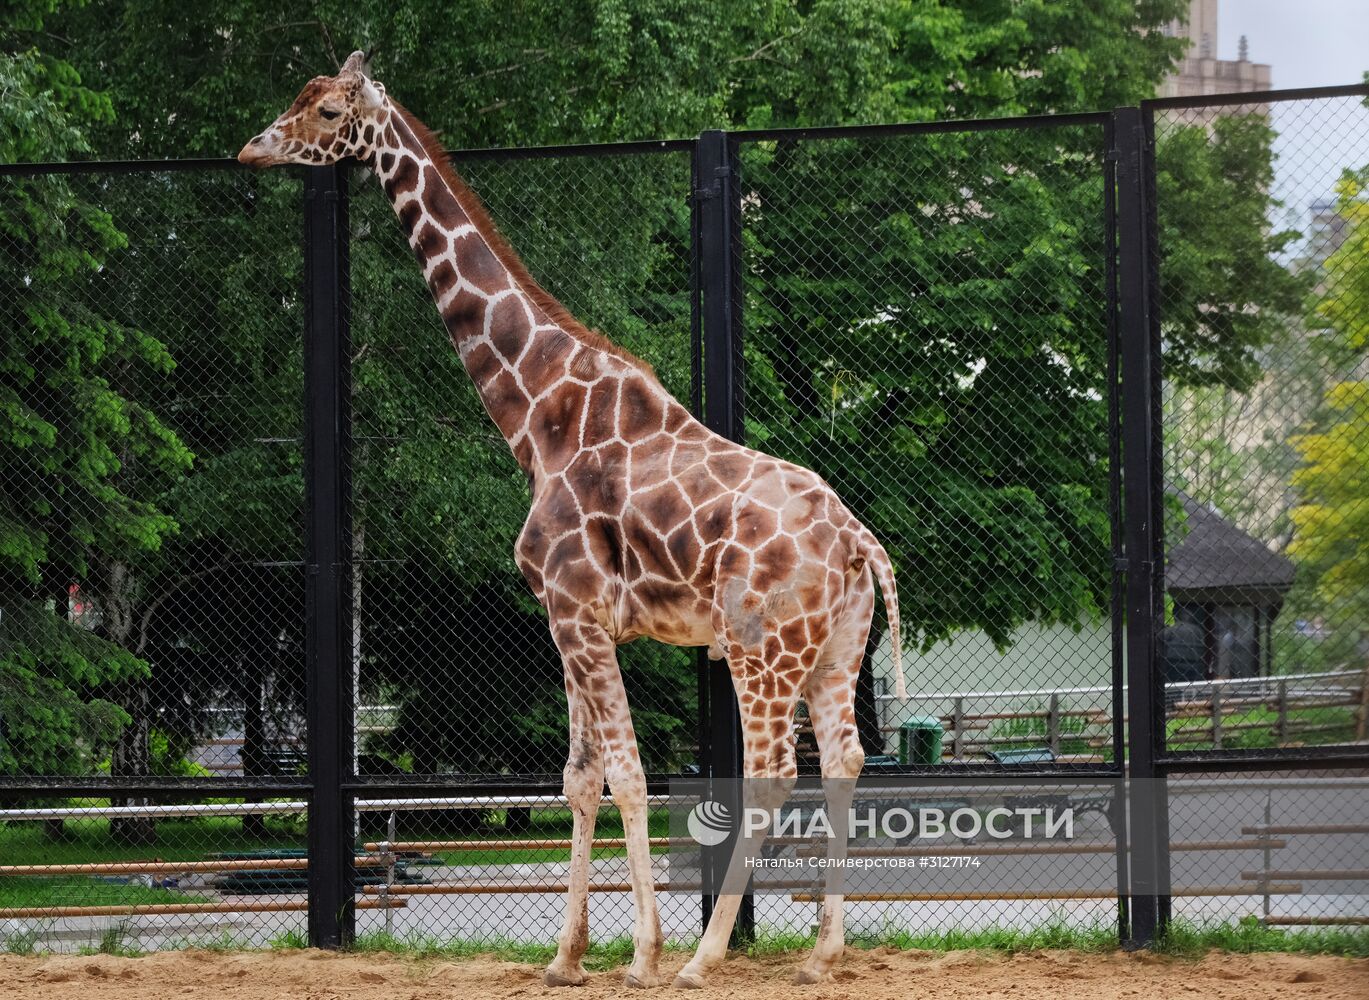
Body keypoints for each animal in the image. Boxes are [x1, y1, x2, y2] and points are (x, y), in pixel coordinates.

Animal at [243, 50, 909, 986]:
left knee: (773, 771)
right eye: (299, 99)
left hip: (760, 647)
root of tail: (856, 539)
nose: (252, 148)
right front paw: (565, 957)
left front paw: (642, 956)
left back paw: (704, 957)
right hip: (835, 648)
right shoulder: (563, 618)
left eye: (329, 110)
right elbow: (577, 778)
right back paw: (822, 952)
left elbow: (626, 774)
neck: (536, 414)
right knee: (846, 761)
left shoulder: (579, 611)